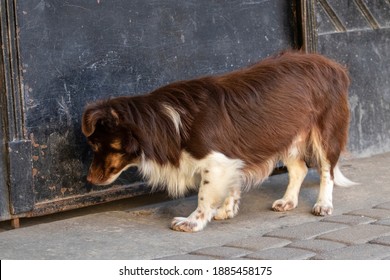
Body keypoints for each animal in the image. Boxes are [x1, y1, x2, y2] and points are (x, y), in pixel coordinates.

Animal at [82, 50, 356, 232]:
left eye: (97, 146)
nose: (89, 180)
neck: (167, 122)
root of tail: (334, 65)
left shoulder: (216, 162)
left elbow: (204, 194)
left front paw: (192, 221)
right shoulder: (230, 159)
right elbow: (231, 186)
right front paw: (226, 210)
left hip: (324, 131)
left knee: (326, 171)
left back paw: (323, 204)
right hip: (284, 131)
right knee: (299, 169)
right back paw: (288, 201)